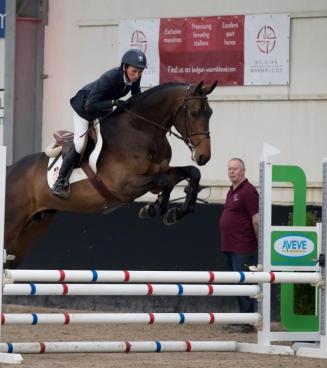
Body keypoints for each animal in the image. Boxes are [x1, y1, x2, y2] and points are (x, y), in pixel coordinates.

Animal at [4, 80, 218, 266]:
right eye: (194, 113)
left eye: (210, 113)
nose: (204, 156)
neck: (141, 130)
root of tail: (10, 170)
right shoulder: (125, 186)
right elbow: (166, 182)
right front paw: (155, 208)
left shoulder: (160, 172)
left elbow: (191, 174)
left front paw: (173, 212)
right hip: (12, 224)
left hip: (33, 229)